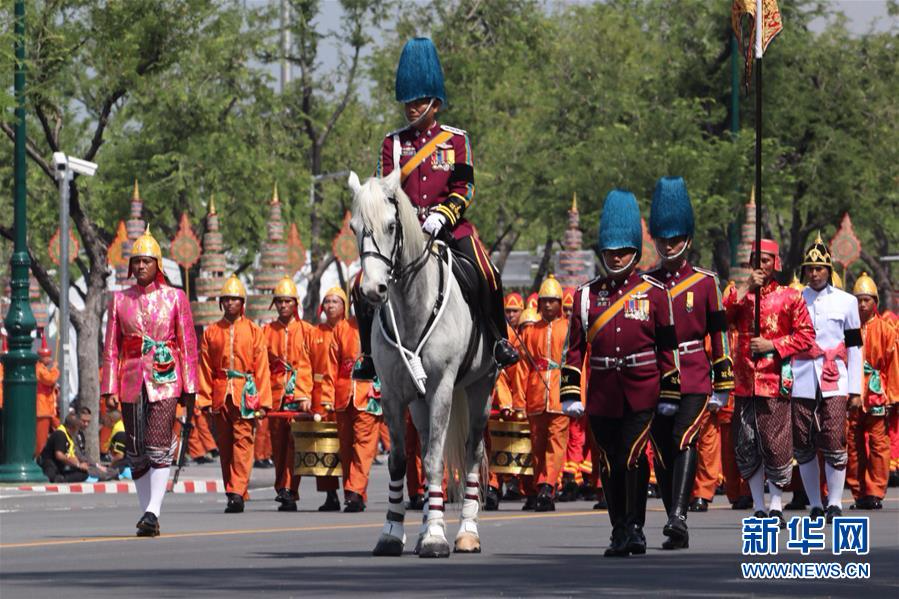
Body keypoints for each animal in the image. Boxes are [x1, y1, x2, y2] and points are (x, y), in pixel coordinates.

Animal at [348, 169, 500, 556]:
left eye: (391, 225)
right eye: (355, 227)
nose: (372, 290)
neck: (411, 307)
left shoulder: (443, 388)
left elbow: (433, 460)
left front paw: (435, 536)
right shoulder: (392, 393)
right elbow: (401, 461)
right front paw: (392, 531)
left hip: (481, 387)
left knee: (473, 451)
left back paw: (466, 532)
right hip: (418, 401)